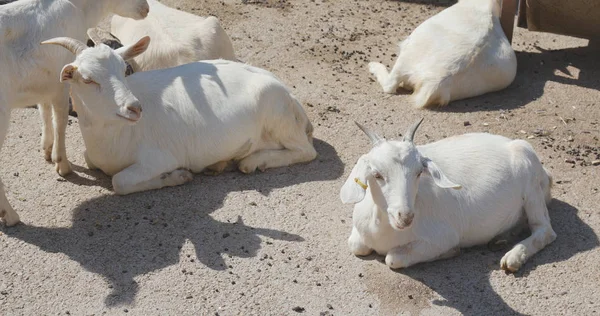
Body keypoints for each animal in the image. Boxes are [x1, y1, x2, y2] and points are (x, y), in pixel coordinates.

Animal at [0, 0, 150, 226]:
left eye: (124, 70)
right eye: (88, 79)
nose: (146, 8)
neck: (79, 8)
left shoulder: (46, 83)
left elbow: (44, 110)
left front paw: (47, 148)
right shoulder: (62, 82)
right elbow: (60, 119)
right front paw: (62, 164)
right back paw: (10, 216)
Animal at [39, 36, 316, 195]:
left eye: (124, 69)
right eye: (87, 79)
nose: (134, 108)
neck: (114, 137)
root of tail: (291, 98)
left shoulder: (160, 158)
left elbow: (119, 182)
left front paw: (176, 177)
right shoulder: (94, 156)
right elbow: (90, 161)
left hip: (277, 115)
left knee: (306, 151)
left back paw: (254, 162)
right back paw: (220, 164)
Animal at [340, 118, 556, 272]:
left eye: (419, 172)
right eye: (377, 174)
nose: (405, 216)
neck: (384, 231)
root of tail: (546, 174)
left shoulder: (443, 237)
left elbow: (392, 258)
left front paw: (452, 252)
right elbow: (356, 245)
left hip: (531, 184)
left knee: (545, 230)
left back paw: (513, 257)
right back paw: (501, 238)